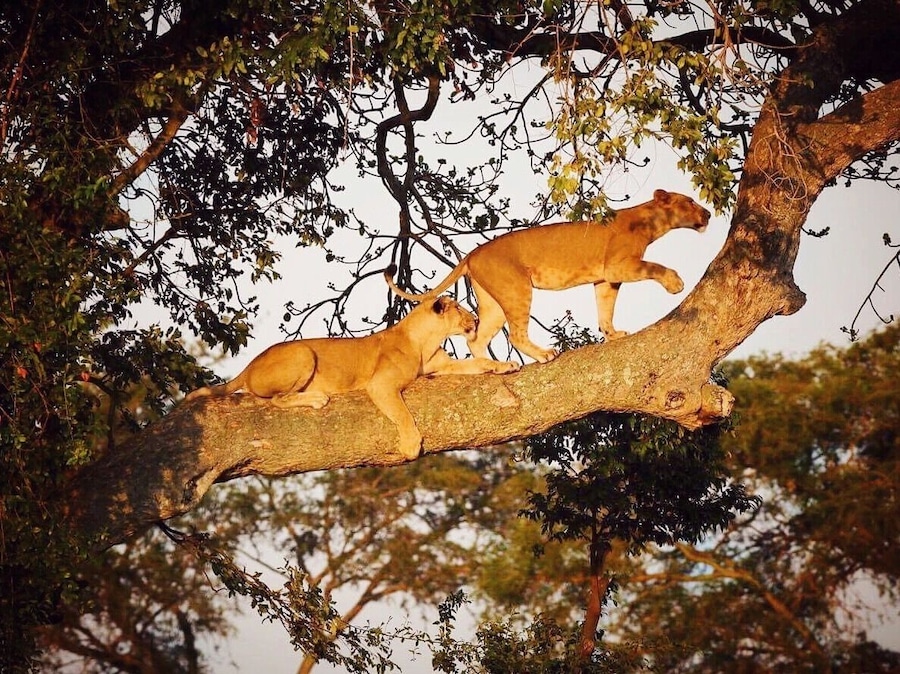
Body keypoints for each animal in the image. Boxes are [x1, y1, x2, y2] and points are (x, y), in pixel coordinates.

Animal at [184, 296, 519, 459]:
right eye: (460, 309)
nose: (475, 320)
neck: (426, 340)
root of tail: (251, 364)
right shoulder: (381, 385)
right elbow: (403, 414)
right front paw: (411, 445)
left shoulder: (441, 368)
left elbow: (478, 362)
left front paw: (505, 365)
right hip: (303, 353)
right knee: (276, 399)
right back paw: (316, 398)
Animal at [384, 189, 711, 363]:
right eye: (690, 201)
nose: (707, 214)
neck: (649, 221)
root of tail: (472, 254)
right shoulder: (619, 265)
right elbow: (655, 266)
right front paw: (675, 282)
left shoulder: (606, 278)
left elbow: (605, 308)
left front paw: (613, 334)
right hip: (517, 288)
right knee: (515, 334)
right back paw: (542, 355)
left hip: (493, 301)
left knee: (477, 340)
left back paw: (491, 367)